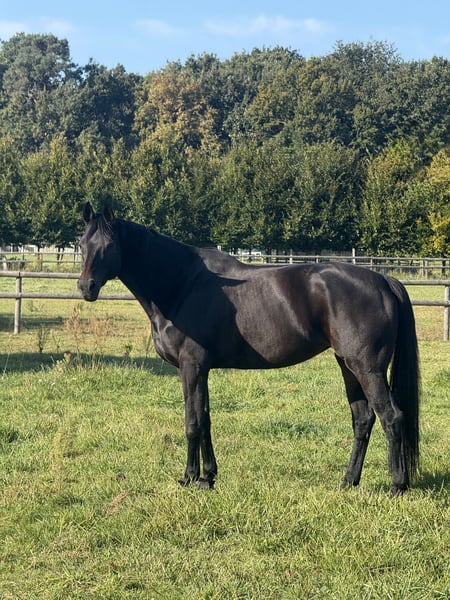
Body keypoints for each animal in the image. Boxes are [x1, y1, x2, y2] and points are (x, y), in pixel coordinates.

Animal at [78, 202, 420, 495]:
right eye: (81, 244)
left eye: (109, 246)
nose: (86, 287)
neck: (182, 284)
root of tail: (384, 281)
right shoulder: (202, 369)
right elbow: (205, 419)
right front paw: (208, 477)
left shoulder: (191, 366)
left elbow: (192, 422)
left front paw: (189, 478)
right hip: (347, 365)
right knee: (363, 419)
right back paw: (348, 481)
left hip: (367, 368)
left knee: (391, 417)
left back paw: (397, 486)